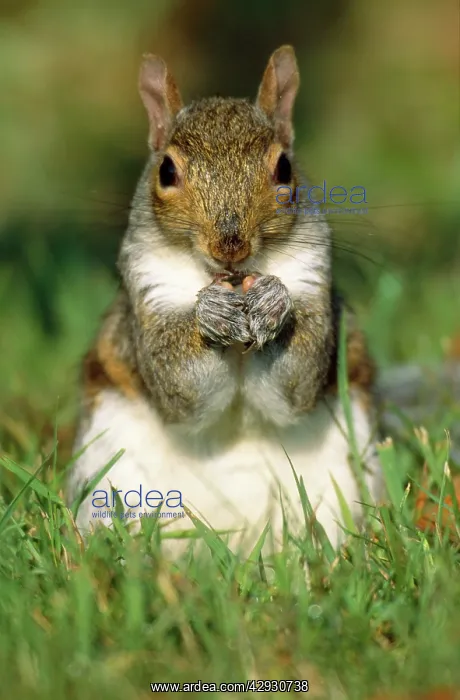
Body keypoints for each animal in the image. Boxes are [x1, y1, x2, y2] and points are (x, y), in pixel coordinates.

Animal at [67, 45, 384, 556]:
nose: (230, 245)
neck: (232, 282)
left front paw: (274, 304)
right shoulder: (147, 296)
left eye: (284, 168)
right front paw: (210, 315)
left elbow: (297, 384)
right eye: (167, 170)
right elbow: (180, 388)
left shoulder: (314, 282)